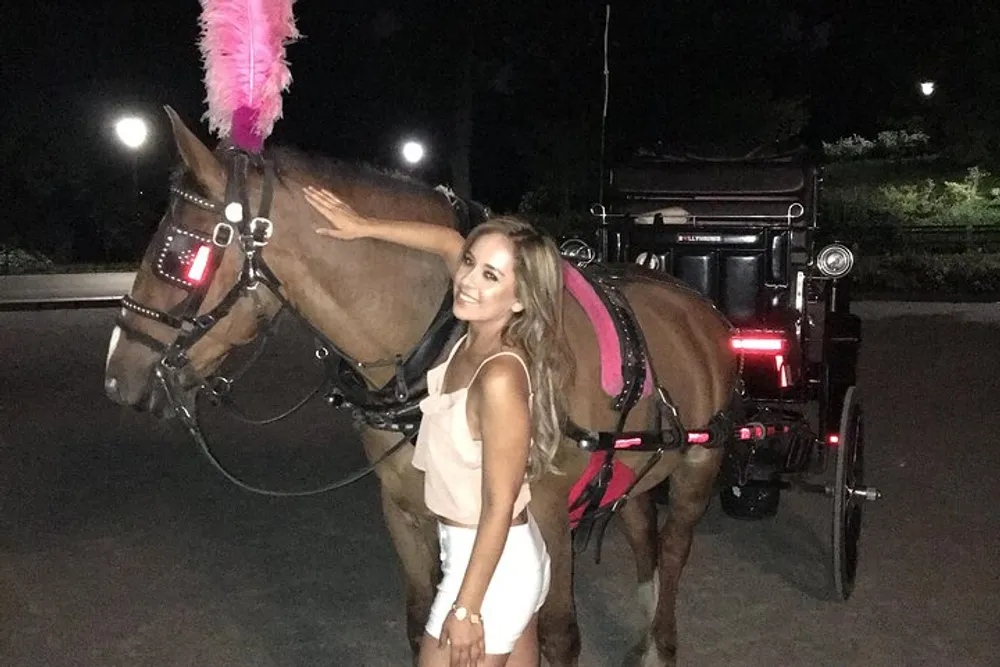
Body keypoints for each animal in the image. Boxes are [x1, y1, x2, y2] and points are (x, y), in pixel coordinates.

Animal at [105, 107, 740, 664]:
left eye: (180, 257)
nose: (118, 378)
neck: (439, 345)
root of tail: (695, 302)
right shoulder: (405, 511)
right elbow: (420, 621)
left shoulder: (549, 518)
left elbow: (559, 636)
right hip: (635, 468)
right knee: (642, 533)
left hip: (698, 466)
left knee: (674, 550)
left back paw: (662, 643)